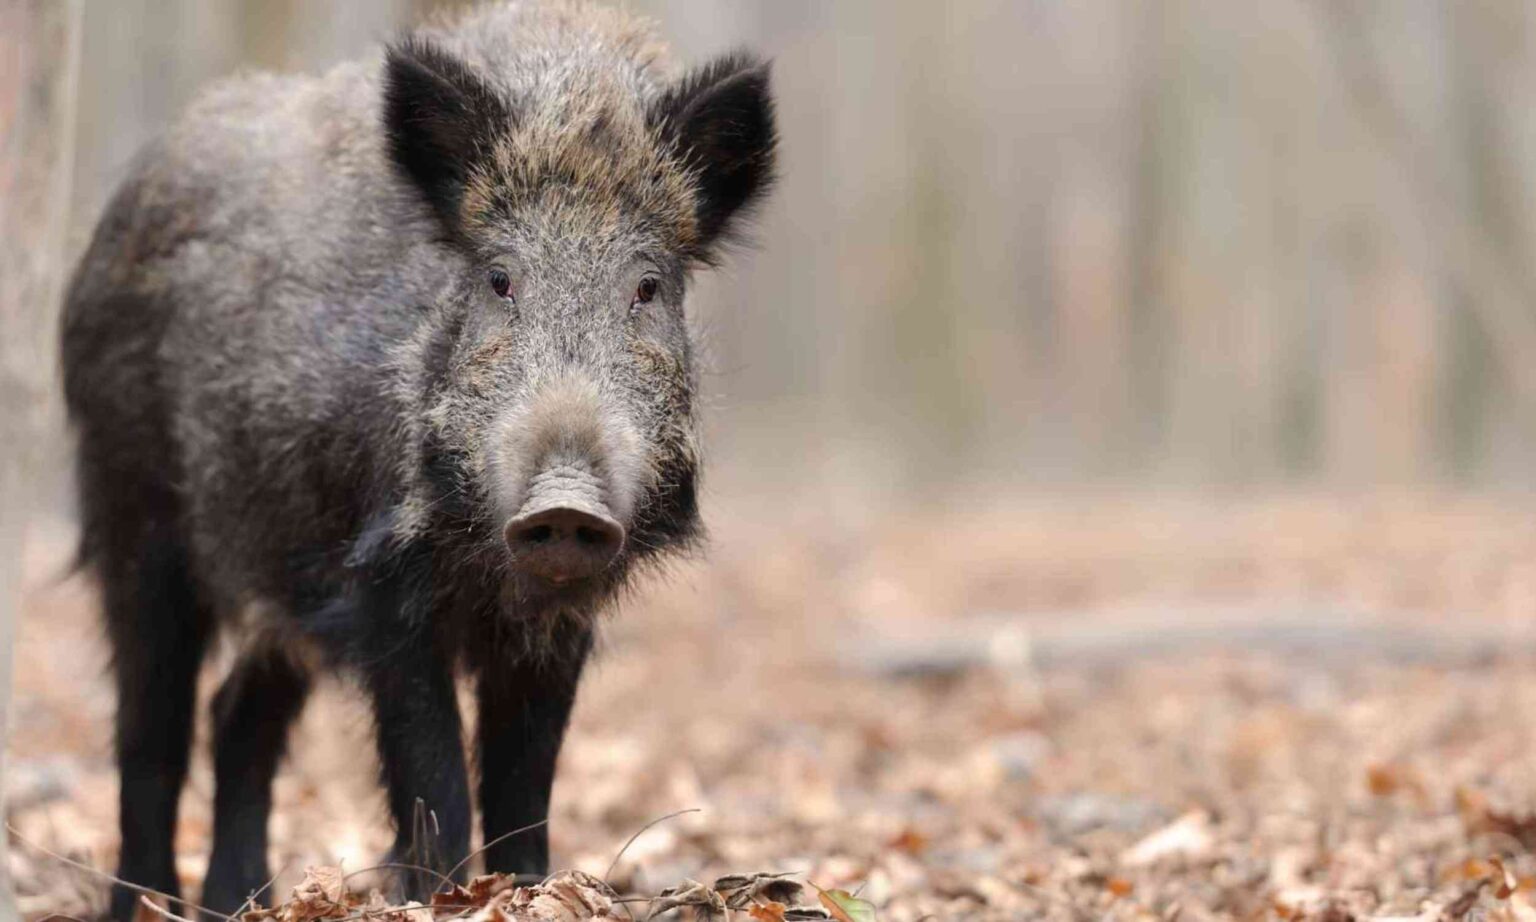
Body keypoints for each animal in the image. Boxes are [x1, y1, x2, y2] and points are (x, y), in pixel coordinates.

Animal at [58, 2, 775, 918]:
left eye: (647, 288)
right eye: (500, 278)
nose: (565, 502)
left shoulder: (559, 620)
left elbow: (525, 776)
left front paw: (528, 888)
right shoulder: (380, 587)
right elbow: (433, 773)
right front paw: (441, 895)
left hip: (274, 568)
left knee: (238, 717)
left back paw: (240, 901)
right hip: (132, 510)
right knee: (151, 730)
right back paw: (146, 901)